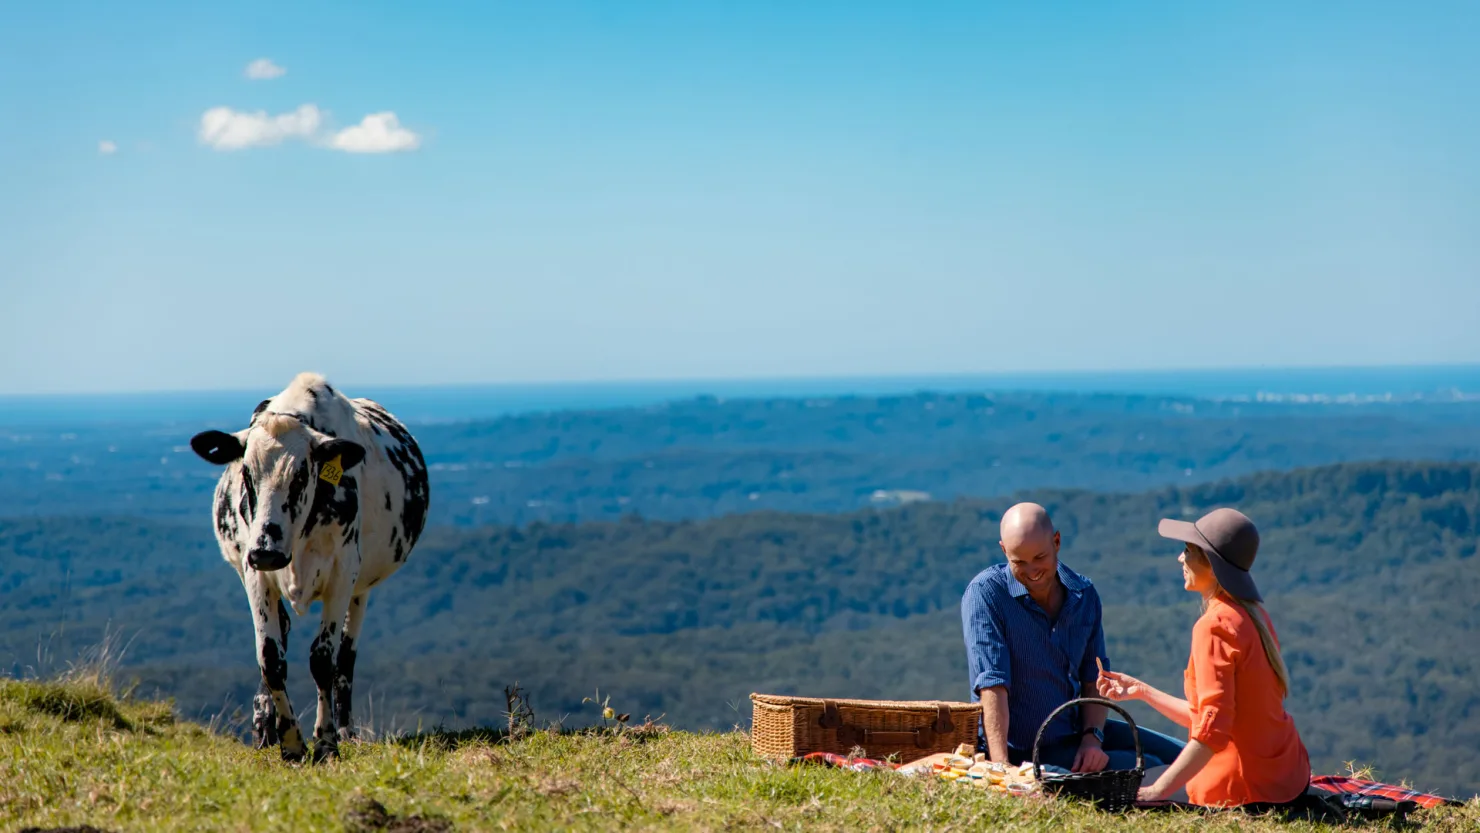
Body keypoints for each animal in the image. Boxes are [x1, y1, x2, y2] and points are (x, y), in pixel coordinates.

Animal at [189, 374, 429, 763]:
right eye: (246, 473)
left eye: (301, 475)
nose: (267, 550)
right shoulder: (254, 573)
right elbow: (270, 657)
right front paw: (289, 743)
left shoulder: (342, 573)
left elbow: (323, 659)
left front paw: (327, 741)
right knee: (283, 635)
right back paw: (265, 728)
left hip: (361, 587)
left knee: (346, 655)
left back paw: (346, 731)